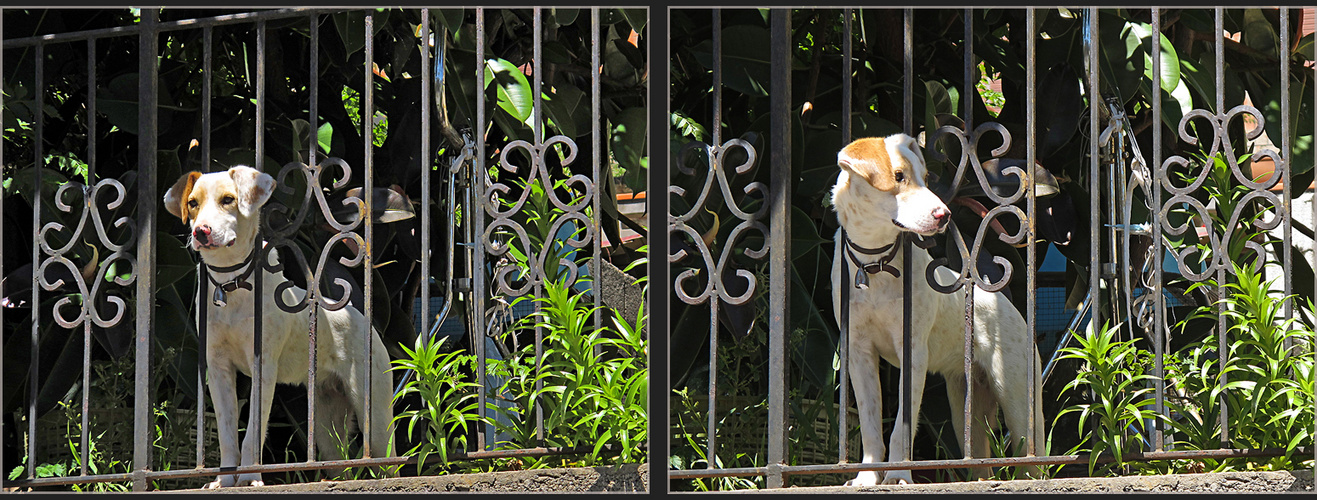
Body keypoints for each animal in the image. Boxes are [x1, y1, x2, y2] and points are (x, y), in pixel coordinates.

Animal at [164, 165, 392, 486]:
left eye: (228, 199)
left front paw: (250, 479)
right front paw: (224, 481)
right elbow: (227, 435)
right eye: (193, 203)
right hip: (326, 425)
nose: (201, 232)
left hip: (376, 416)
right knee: (340, 465)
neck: (231, 284)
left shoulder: (263, 367)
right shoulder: (218, 368)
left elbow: (252, 433)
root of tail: (363, 320)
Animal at [832, 134, 1037, 486]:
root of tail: (1008, 305)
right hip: (965, 410)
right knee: (981, 465)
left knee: (1033, 459)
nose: (945, 215)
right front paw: (867, 478)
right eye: (898, 176)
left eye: (925, 178)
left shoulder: (912, 352)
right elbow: (872, 427)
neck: (874, 263)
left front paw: (897, 477)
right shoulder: (858, 353)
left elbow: (901, 428)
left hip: (1016, 400)